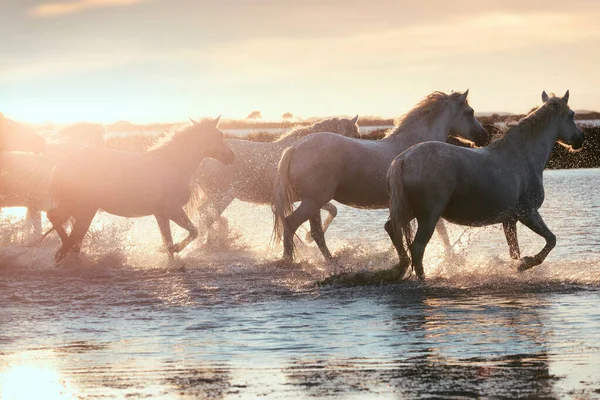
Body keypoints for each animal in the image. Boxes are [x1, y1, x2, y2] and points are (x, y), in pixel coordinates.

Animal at [41, 117, 234, 264]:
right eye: (219, 135)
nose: (231, 157)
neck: (173, 165)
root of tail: (62, 164)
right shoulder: (173, 210)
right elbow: (193, 232)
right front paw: (175, 249)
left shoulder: (161, 214)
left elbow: (169, 239)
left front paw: (171, 256)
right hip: (84, 209)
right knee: (67, 227)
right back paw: (65, 251)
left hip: (79, 208)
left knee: (59, 220)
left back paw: (66, 251)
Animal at [193, 114, 360, 242]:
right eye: (357, 137)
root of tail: (202, 160)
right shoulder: (311, 198)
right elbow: (333, 210)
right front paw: (308, 237)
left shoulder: (306, 199)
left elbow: (333, 209)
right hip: (222, 197)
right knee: (205, 217)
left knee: (203, 214)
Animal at [274, 89, 490, 260]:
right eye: (470, 112)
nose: (484, 136)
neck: (414, 147)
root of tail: (295, 147)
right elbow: (441, 232)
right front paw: (452, 258)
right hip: (313, 201)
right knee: (291, 224)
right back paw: (290, 260)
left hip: (314, 203)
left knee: (316, 232)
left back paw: (332, 262)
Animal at [386, 91, 584, 280]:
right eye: (571, 115)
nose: (580, 139)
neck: (522, 156)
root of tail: (403, 159)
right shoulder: (528, 213)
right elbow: (551, 240)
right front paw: (524, 264)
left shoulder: (510, 220)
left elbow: (515, 251)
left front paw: (516, 268)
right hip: (428, 218)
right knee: (418, 247)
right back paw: (421, 278)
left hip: (411, 212)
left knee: (393, 230)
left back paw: (399, 268)